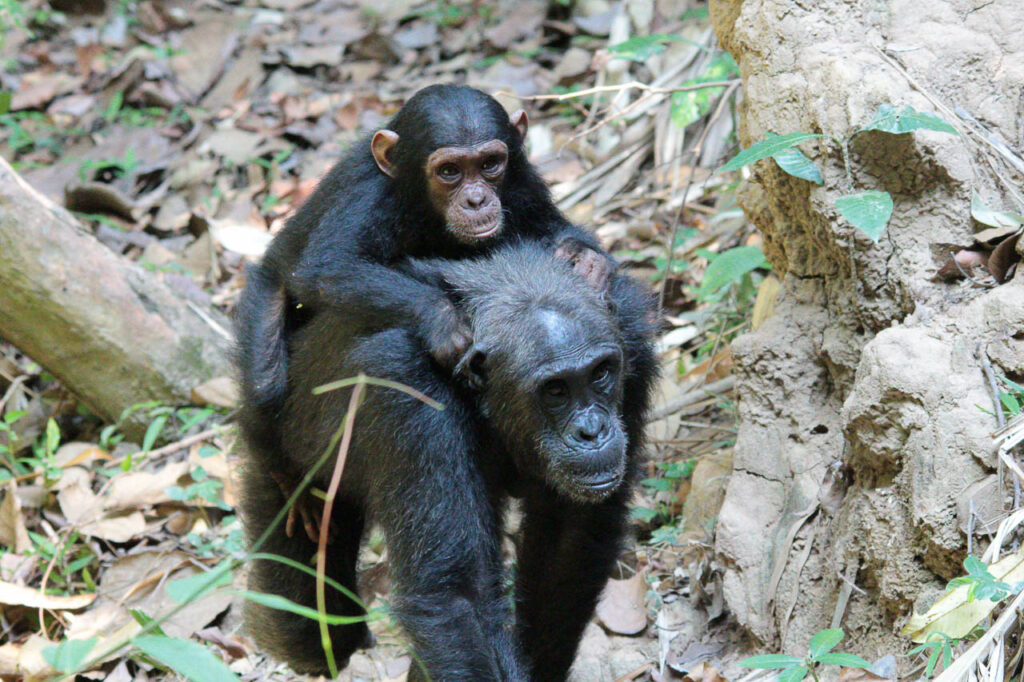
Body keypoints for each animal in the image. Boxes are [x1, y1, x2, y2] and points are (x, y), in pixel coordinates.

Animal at [234, 84, 610, 536]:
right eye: (449, 171)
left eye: (490, 164)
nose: (476, 198)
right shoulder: (366, 199)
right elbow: (329, 267)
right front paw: (444, 322)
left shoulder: (524, 184)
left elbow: (550, 229)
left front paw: (585, 259)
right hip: (263, 295)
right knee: (265, 382)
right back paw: (288, 478)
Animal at [238, 241, 655, 675]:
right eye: (555, 390)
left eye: (600, 373)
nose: (592, 430)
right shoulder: (409, 391)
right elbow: (455, 595)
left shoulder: (633, 347)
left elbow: (568, 544)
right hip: (286, 467)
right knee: (306, 624)